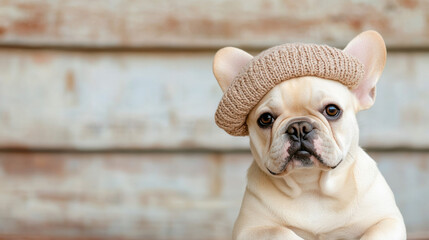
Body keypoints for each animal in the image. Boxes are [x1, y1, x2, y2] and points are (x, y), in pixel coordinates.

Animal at [212, 31, 406, 239]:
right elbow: (280, 231)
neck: (310, 185)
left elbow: (375, 233)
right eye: (265, 119)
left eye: (332, 110)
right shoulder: (250, 229)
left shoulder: (388, 220)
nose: (298, 127)